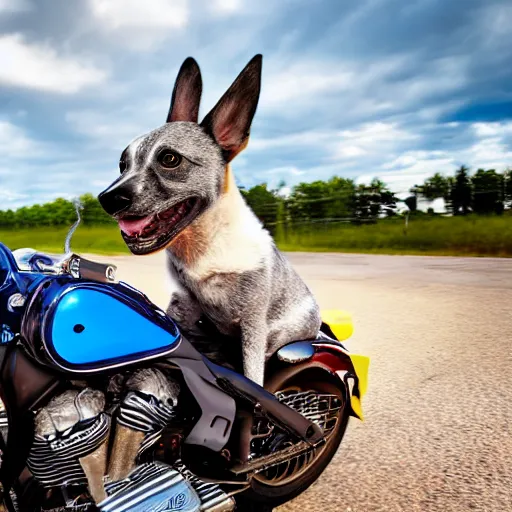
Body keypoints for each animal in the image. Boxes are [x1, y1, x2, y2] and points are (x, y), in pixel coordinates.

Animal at [98, 55, 322, 384]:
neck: (204, 243)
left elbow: (253, 375)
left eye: (169, 159)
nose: (106, 199)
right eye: (122, 164)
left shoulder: (253, 325)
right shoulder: (183, 307)